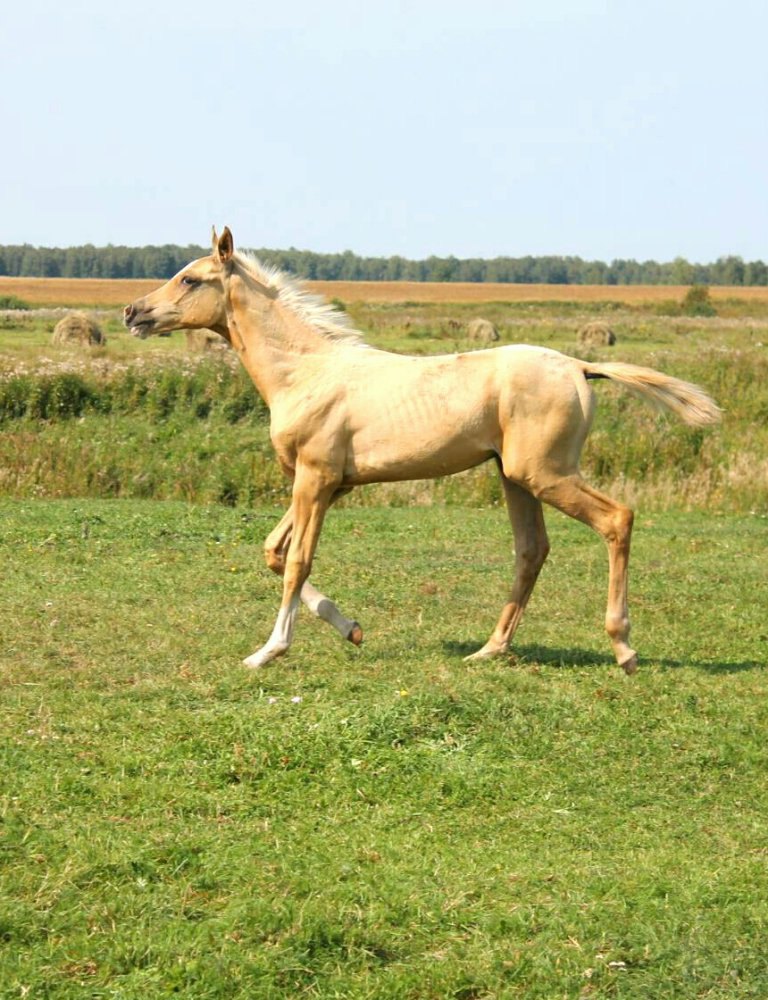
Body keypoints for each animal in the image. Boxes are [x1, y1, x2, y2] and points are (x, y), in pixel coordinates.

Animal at [121, 230, 720, 676]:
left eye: (190, 278)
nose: (132, 313)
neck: (306, 372)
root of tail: (579, 365)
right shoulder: (329, 484)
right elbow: (273, 550)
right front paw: (352, 629)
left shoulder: (315, 478)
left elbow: (295, 561)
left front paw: (268, 651)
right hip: (515, 476)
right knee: (531, 550)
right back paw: (490, 649)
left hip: (545, 472)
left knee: (617, 519)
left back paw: (623, 647)